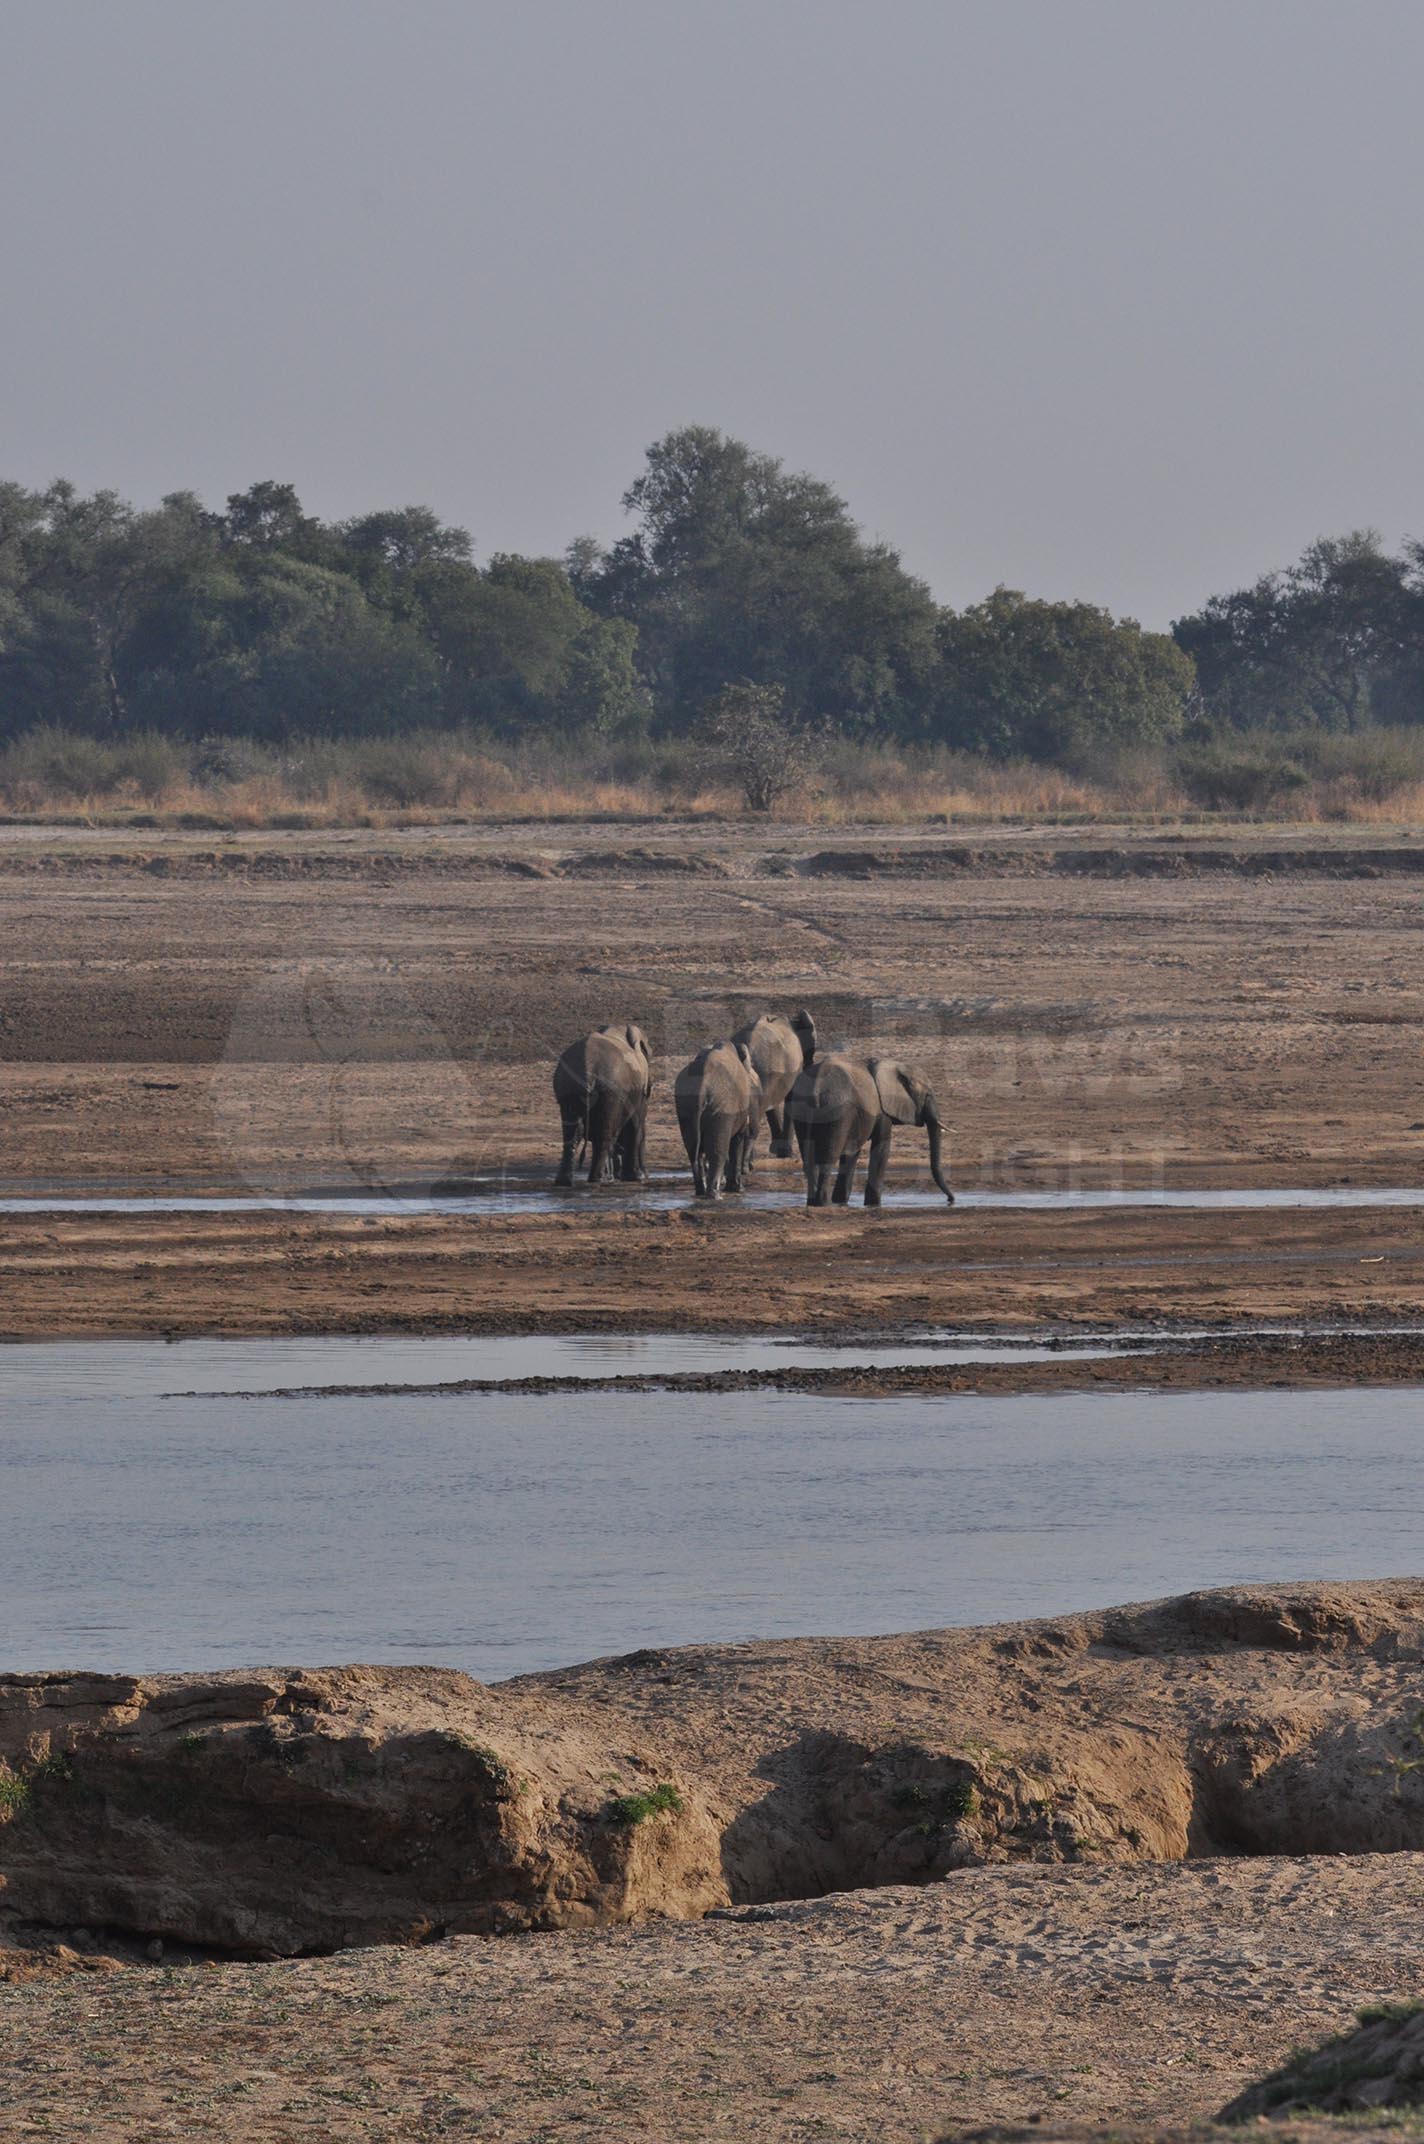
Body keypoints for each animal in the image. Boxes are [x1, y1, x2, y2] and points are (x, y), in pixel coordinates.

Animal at [553, 1024, 651, 1192]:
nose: (646, 1175)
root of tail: (588, 1068)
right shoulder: (638, 1090)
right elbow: (635, 1124)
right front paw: (636, 1178)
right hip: (610, 1091)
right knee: (604, 1133)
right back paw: (598, 1178)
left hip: (568, 1086)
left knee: (572, 1132)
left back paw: (564, 1181)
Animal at [673, 1033, 763, 1200]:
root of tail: (703, 1083)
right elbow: (737, 1140)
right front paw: (738, 1190)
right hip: (722, 1107)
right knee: (718, 1150)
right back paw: (714, 1195)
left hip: (685, 1104)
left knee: (693, 1150)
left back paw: (701, 1191)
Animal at [784, 1050, 952, 1209]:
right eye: (928, 1094)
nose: (951, 1199)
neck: (893, 1065)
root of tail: (816, 1085)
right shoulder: (882, 1111)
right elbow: (881, 1148)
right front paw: (873, 1205)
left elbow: (851, 1154)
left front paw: (842, 1202)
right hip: (834, 1110)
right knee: (827, 1158)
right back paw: (825, 1204)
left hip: (801, 1107)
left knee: (809, 1158)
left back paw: (814, 1203)